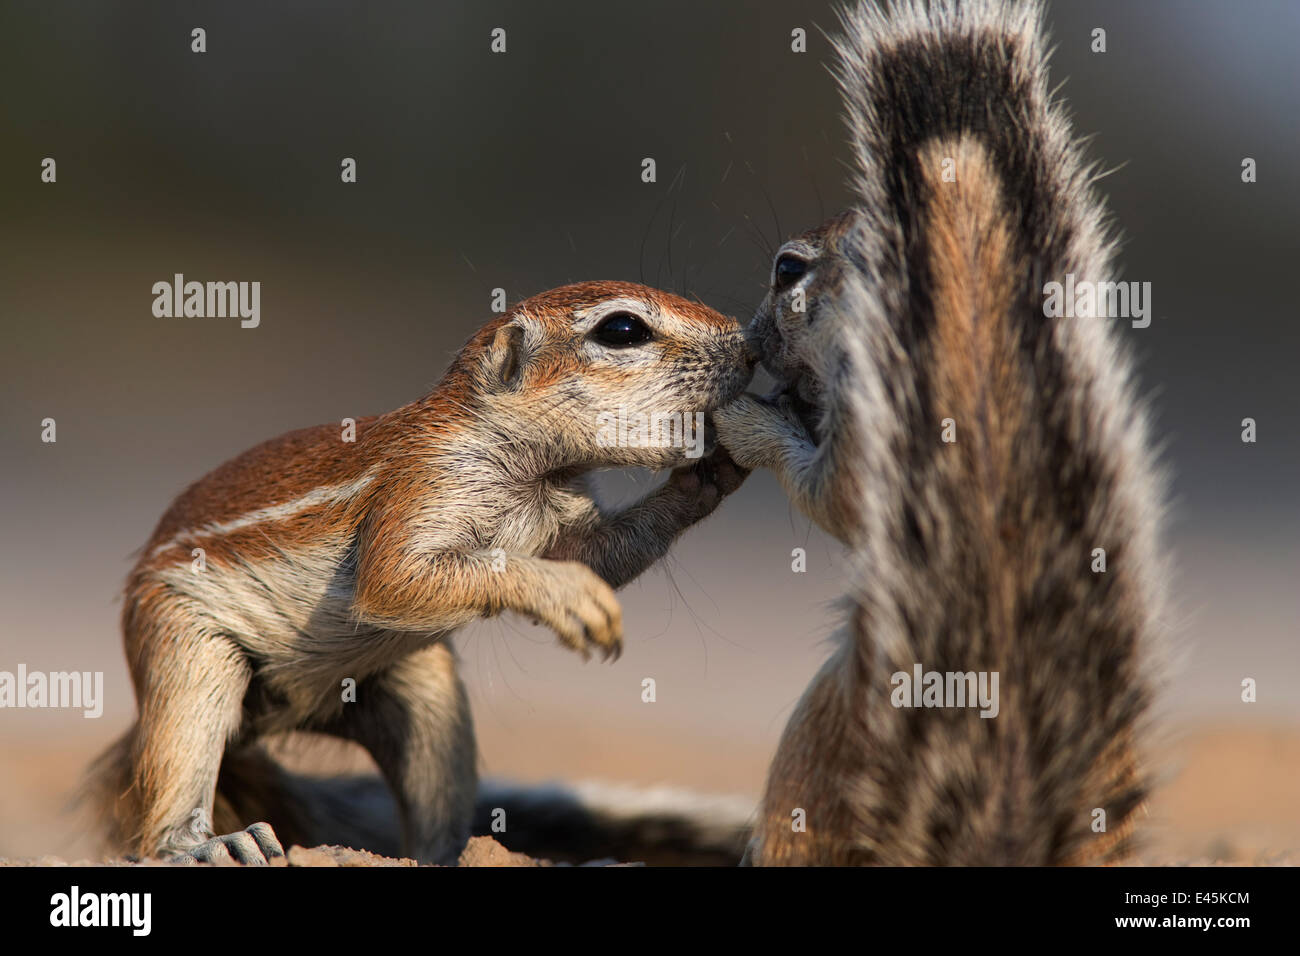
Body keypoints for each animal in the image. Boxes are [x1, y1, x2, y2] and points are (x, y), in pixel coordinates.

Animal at [89, 278, 754, 868]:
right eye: (622, 330)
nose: (749, 346)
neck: (537, 473)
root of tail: (285, 719)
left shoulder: (569, 519)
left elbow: (598, 554)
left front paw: (710, 473)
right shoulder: (422, 487)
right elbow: (397, 578)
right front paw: (568, 597)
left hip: (422, 693)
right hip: (185, 653)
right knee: (173, 773)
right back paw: (206, 845)